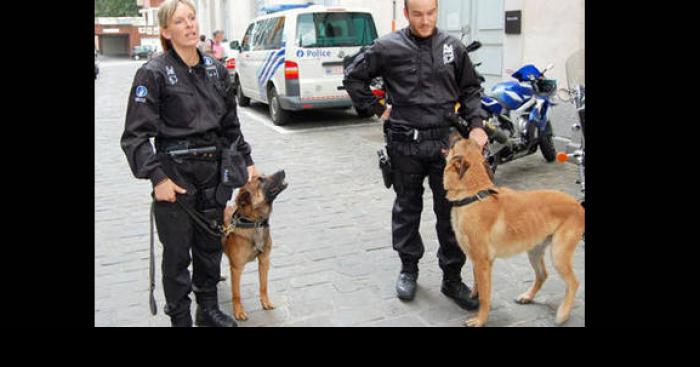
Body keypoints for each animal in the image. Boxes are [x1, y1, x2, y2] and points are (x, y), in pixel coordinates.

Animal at [221, 171, 288, 320]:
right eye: (260, 180)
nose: (283, 170)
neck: (254, 222)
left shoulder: (264, 260)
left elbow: (263, 286)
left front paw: (266, 302)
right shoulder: (236, 268)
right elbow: (236, 294)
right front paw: (238, 311)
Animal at [442, 134, 584, 328]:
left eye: (456, 143)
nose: (453, 133)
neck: (474, 194)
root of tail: (577, 204)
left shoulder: (482, 262)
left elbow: (485, 296)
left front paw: (480, 319)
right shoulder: (478, 261)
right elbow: (478, 285)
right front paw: (473, 298)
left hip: (559, 254)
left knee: (573, 283)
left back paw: (563, 313)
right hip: (534, 251)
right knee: (543, 275)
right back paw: (528, 296)